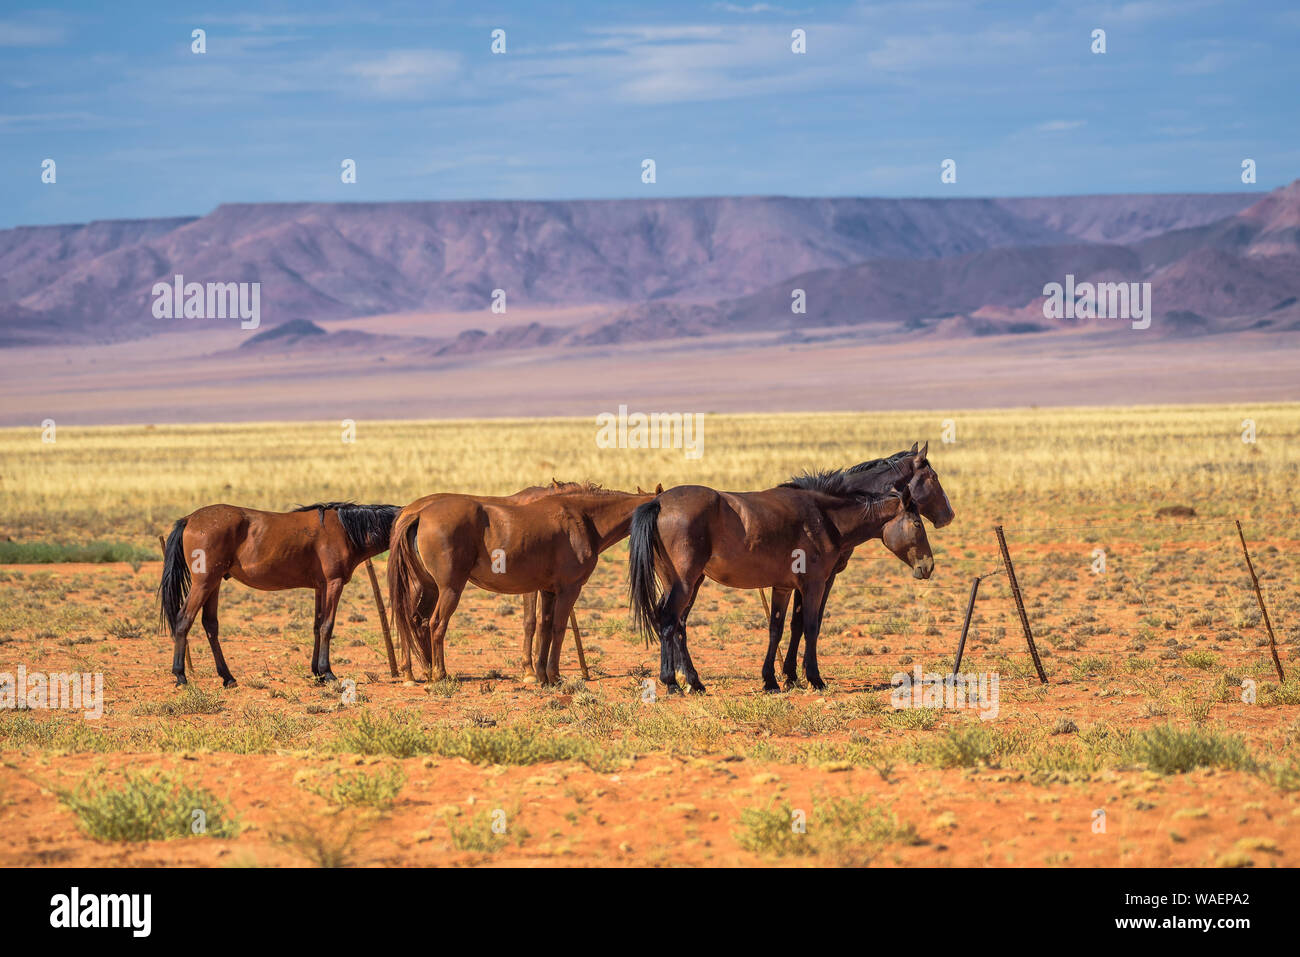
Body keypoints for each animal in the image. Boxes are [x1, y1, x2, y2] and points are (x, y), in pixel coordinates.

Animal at [159, 501, 397, 686]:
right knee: (183, 620)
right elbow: (327, 626)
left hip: (214, 583)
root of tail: (190, 519)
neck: (345, 530)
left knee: (210, 625)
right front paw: (327, 673)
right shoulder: (333, 584)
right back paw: (180, 676)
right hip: (204, 583)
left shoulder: (320, 587)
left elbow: (317, 627)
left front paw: (317, 673)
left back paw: (228, 677)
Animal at [382, 481, 650, 686]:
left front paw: (541, 675)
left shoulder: (548, 590)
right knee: (435, 624)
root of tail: (417, 513)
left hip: (426, 586)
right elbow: (554, 628)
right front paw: (551, 675)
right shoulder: (567, 589)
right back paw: (439, 674)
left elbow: (543, 627)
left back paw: (420, 671)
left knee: (413, 621)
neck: (579, 519)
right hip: (448, 589)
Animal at [624, 455, 941, 686]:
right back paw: (672, 682)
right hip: (685, 583)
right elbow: (810, 627)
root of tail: (659, 502)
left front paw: (772, 680)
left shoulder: (784, 587)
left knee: (673, 622)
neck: (824, 518)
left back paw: (694, 681)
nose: (928, 566)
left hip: (681, 583)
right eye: (917, 524)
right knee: (669, 621)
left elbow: (777, 628)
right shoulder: (815, 585)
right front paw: (813, 678)